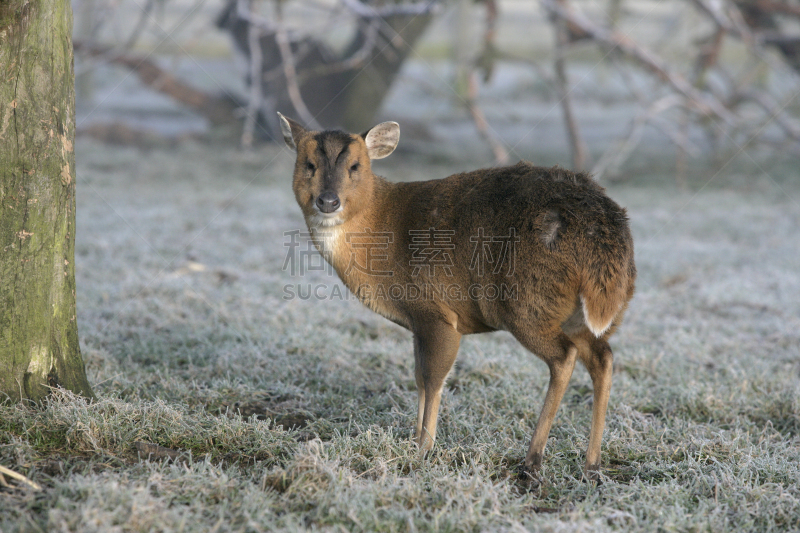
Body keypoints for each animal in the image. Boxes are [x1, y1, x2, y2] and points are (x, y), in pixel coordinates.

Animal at [278, 113, 636, 478]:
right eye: (308, 164)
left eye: (355, 165)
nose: (328, 201)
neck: (380, 233)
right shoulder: (417, 321)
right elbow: (419, 377)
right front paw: (413, 440)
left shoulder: (436, 311)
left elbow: (433, 378)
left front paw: (423, 448)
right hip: (579, 315)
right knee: (602, 356)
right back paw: (592, 462)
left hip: (528, 305)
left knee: (564, 357)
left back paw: (532, 459)